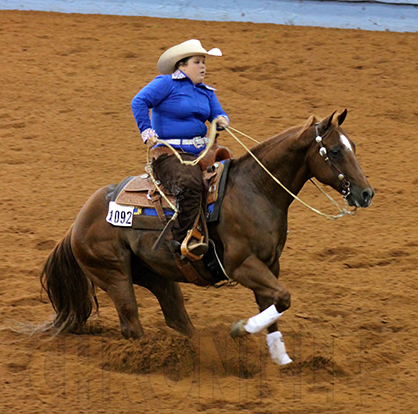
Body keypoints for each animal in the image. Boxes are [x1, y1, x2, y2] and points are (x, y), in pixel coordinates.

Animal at [40, 110, 376, 366]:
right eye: (335, 151)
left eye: (354, 146)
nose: (366, 193)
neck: (256, 190)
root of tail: (77, 224)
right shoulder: (241, 265)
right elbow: (283, 298)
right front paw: (240, 329)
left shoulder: (270, 265)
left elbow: (275, 307)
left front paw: (283, 361)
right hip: (113, 273)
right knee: (131, 323)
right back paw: (149, 359)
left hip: (157, 274)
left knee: (177, 318)